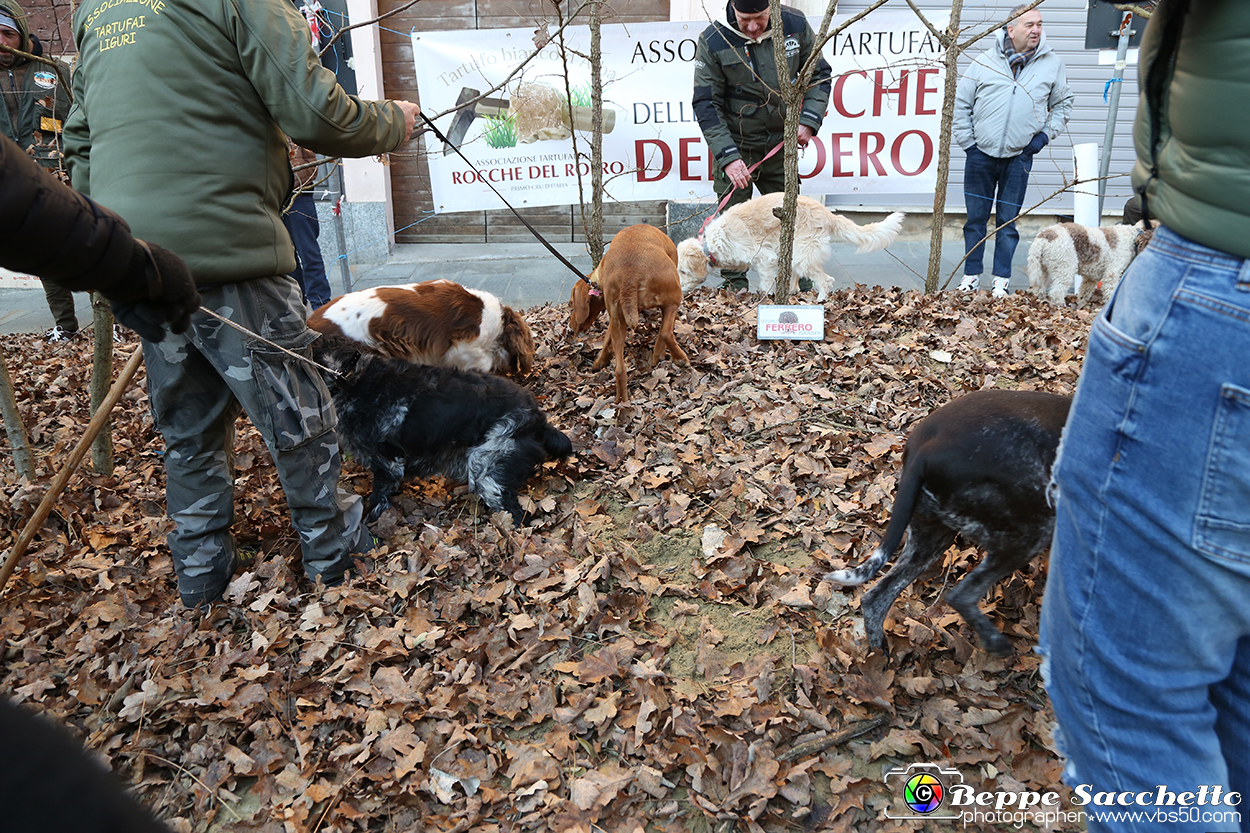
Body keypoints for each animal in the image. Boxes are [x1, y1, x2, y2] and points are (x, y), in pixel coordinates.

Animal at [312, 335, 572, 522]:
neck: (356, 381)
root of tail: (538, 420)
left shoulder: (387, 463)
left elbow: (377, 500)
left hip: (487, 469)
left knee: (515, 515)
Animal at [572, 222, 690, 400]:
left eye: (571, 304)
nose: (570, 326)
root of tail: (630, 274)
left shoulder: (614, 318)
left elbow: (606, 341)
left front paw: (599, 362)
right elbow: (662, 333)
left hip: (619, 320)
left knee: (620, 370)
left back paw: (621, 400)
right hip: (674, 300)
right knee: (665, 333)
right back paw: (679, 359)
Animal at [680, 192, 905, 300]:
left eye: (682, 271)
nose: (678, 290)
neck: (709, 245)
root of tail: (827, 213)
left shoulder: (765, 258)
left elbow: (764, 284)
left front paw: (763, 299)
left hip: (803, 256)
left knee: (825, 281)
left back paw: (820, 300)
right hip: (796, 255)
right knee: (796, 283)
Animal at [825, 390, 1070, 655]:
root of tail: (923, 452)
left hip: (930, 539)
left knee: (875, 599)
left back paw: (880, 655)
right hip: (1032, 532)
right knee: (960, 596)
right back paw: (997, 644)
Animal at [1020, 218, 1155, 306]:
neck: (1134, 238)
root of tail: (1044, 236)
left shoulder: (1090, 278)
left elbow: (1085, 291)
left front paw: (1082, 302)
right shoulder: (1112, 274)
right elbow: (1110, 291)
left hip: (1041, 269)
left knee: (1039, 288)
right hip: (1065, 267)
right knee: (1056, 291)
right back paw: (1061, 305)